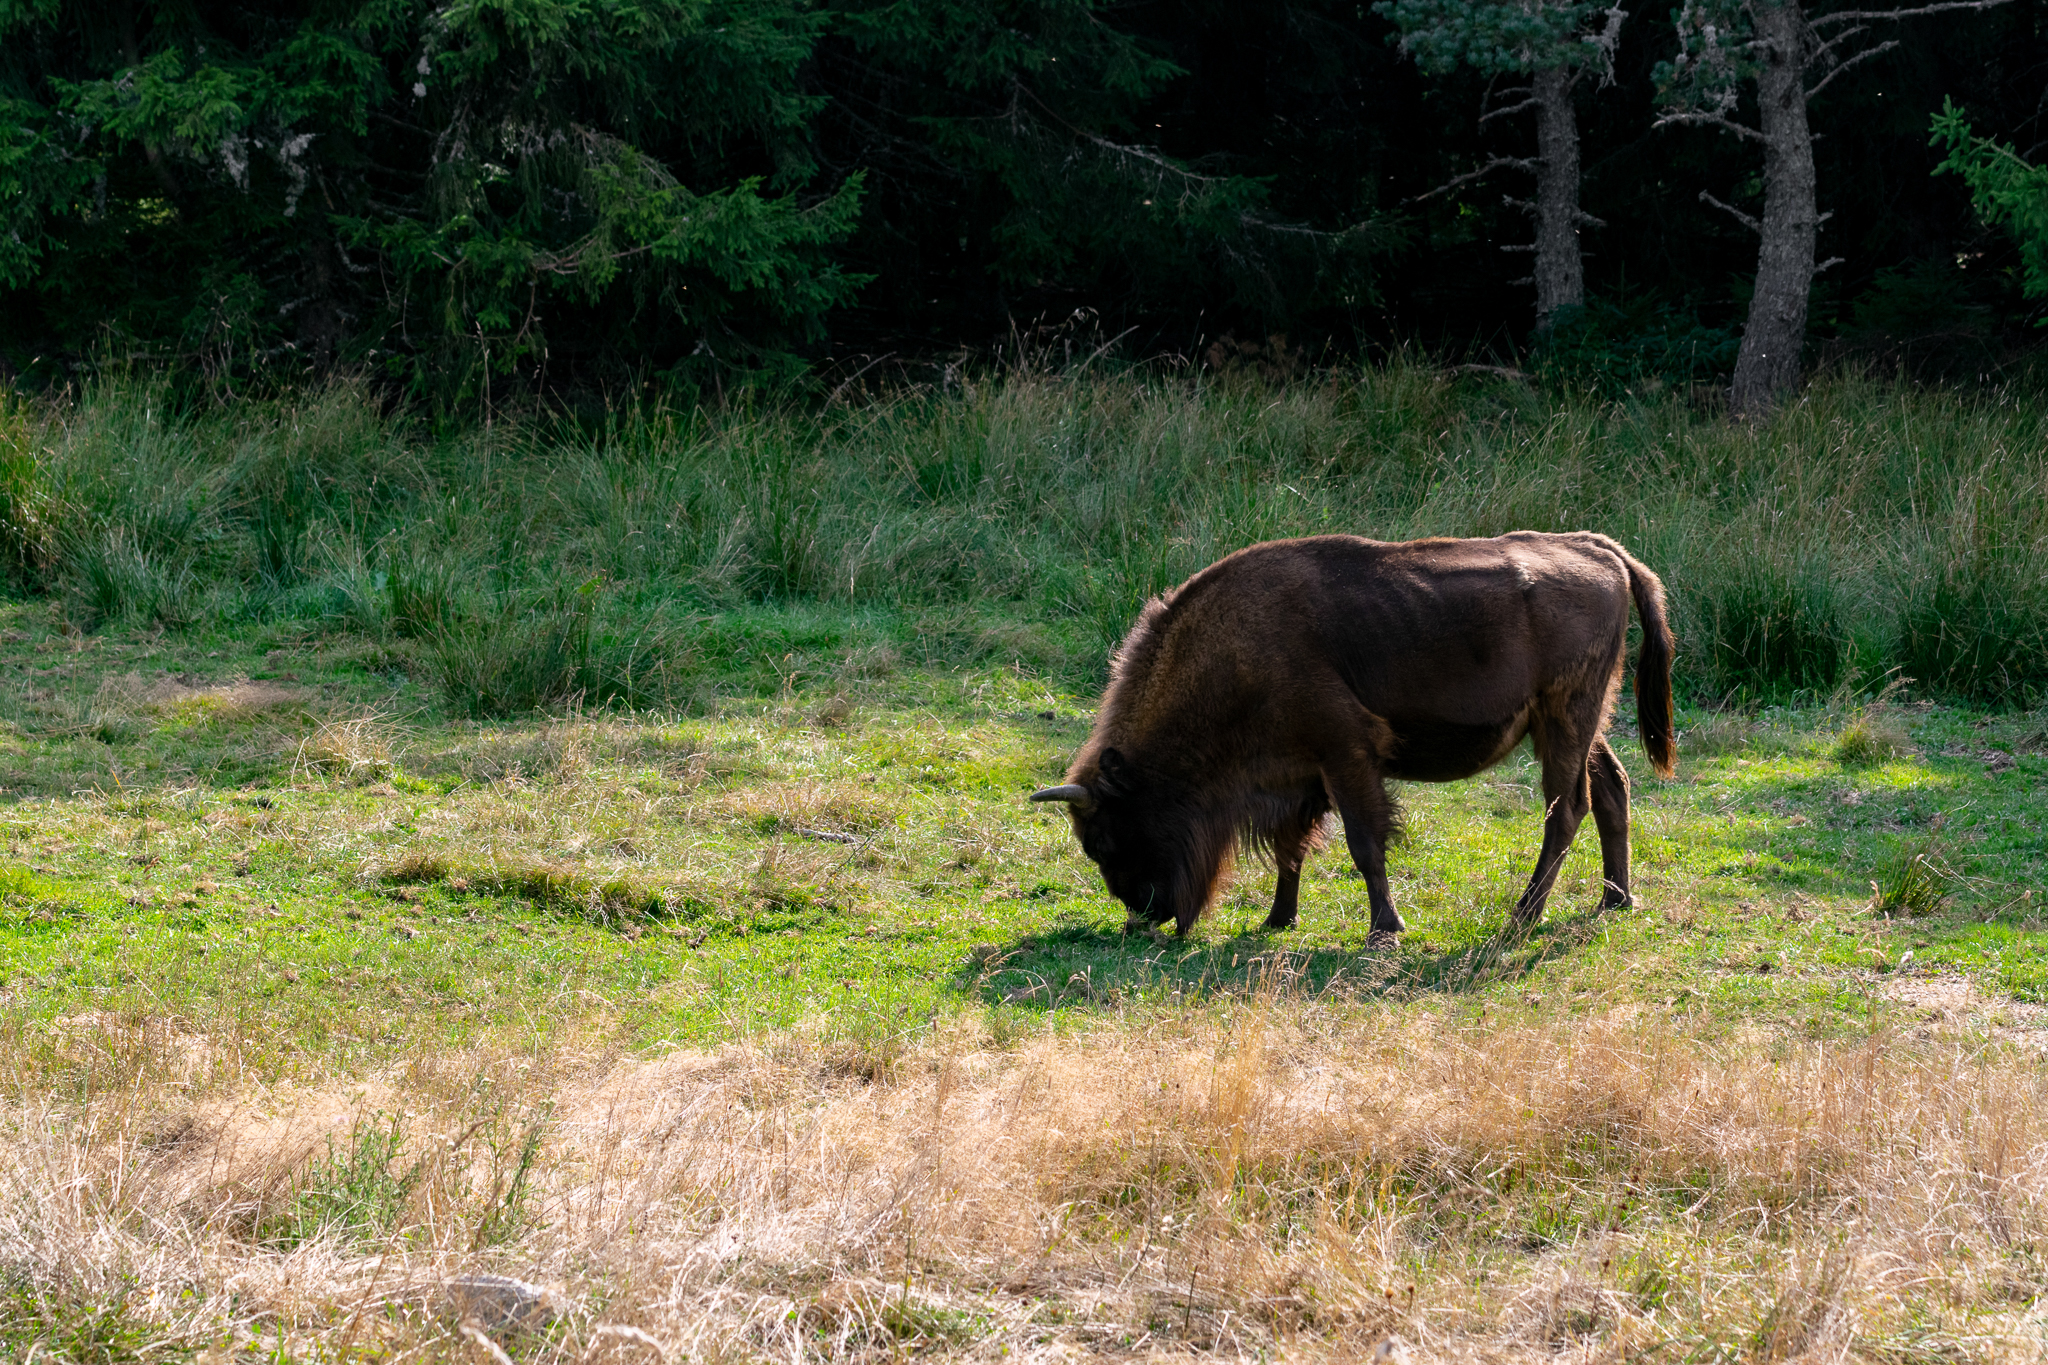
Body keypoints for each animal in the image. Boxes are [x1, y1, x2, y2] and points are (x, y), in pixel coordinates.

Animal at [1031, 532, 1675, 936]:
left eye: (1104, 837)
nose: (1144, 914)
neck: (1234, 649)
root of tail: (1602, 550)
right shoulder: (1302, 775)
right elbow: (1291, 848)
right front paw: (1277, 919)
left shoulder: (1346, 755)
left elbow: (1364, 844)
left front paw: (1384, 929)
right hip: (1576, 722)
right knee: (1612, 788)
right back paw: (1616, 898)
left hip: (1565, 718)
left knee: (1566, 808)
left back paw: (1523, 916)